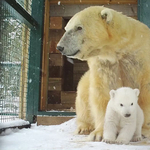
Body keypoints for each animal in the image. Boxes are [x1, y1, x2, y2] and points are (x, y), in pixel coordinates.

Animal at [56, 6, 150, 141]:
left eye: (79, 27)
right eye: (66, 28)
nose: (60, 47)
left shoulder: (140, 58)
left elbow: (145, 92)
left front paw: (143, 130)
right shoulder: (104, 63)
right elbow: (102, 92)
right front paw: (98, 134)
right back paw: (83, 128)